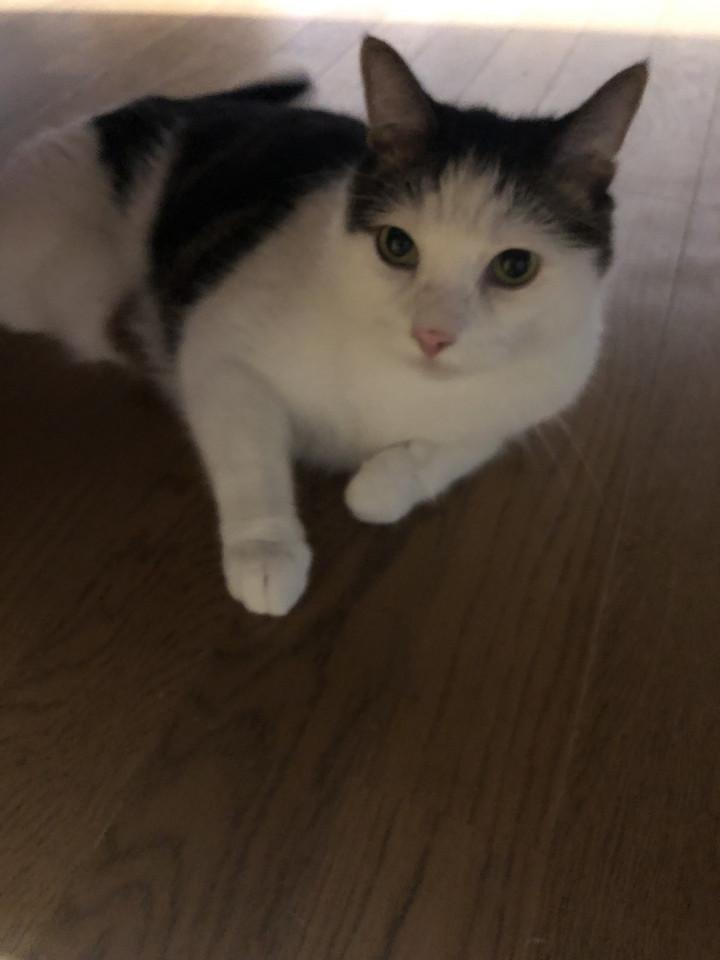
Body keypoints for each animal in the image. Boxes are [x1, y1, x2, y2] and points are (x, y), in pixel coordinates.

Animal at [0, 36, 647, 616]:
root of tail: (167, 102)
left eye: (516, 267)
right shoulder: (219, 352)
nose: (432, 336)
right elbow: (249, 456)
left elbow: (447, 451)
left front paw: (380, 484)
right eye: (396, 245)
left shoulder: (534, 397)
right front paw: (265, 552)